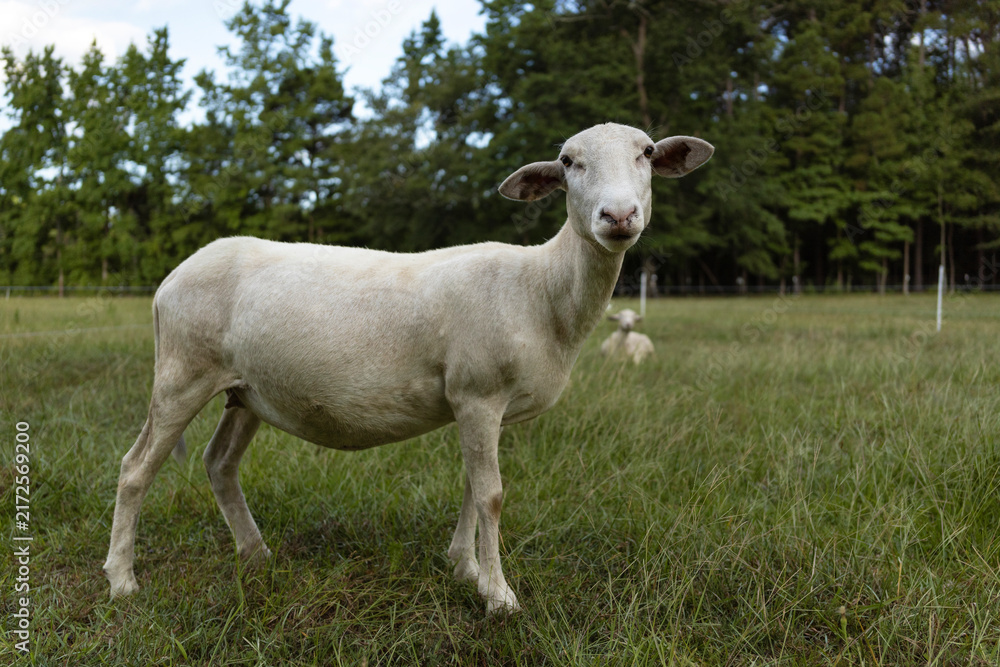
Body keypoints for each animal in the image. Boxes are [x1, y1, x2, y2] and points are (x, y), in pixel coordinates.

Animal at [103, 122, 713, 615]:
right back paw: (122, 581)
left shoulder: (483, 406)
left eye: (647, 152)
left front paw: (466, 570)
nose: (619, 216)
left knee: (219, 463)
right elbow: (492, 495)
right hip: (183, 372)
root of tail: (171, 279)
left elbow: (473, 488)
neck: (542, 291)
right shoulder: (477, 393)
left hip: (246, 389)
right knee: (135, 469)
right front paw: (500, 598)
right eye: (567, 161)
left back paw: (255, 555)